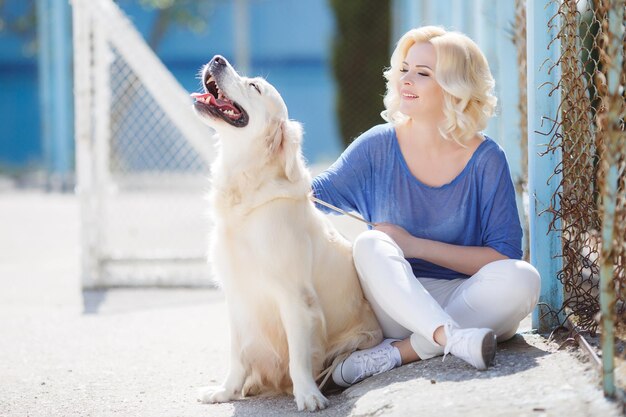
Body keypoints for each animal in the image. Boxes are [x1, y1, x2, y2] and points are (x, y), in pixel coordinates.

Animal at [194, 55, 380, 410]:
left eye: (254, 86)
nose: (217, 59)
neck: (247, 190)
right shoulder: (237, 296)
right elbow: (237, 354)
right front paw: (226, 390)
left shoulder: (295, 296)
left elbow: (298, 356)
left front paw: (307, 394)